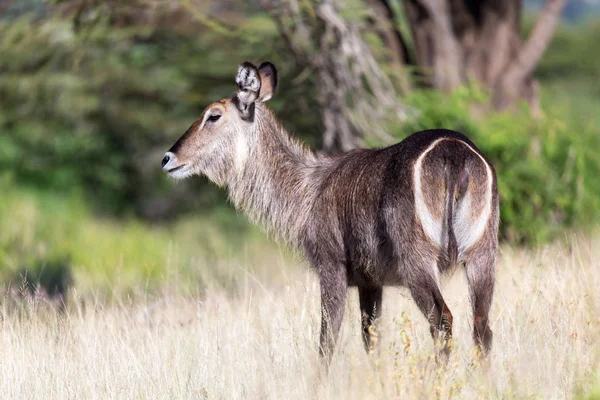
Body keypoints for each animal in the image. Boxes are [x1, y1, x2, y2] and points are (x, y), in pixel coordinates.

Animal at [163, 61, 496, 360]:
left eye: (213, 115)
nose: (168, 158)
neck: (309, 188)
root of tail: (454, 152)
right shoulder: (370, 280)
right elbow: (371, 339)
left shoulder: (331, 266)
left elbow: (327, 341)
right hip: (481, 254)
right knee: (482, 328)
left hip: (418, 261)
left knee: (442, 321)